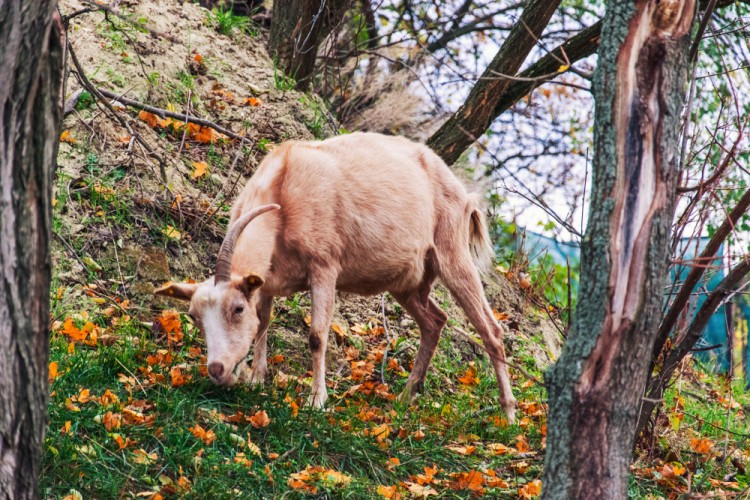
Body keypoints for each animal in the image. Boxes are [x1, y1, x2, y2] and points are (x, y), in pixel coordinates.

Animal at [156, 131, 520, 420]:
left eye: (236, 309)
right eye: (194, 316)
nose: (217, 370)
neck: (284, 189)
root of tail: (465, 194)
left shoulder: (325, 266)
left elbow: (317, 335)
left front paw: (317, 400)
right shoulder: (267, 281)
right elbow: (264, 324)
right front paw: (257, 379)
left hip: (453, 255)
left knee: (491, 330)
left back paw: (508, 414)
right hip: (409, 283)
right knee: (435, 322)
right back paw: (406, 398)